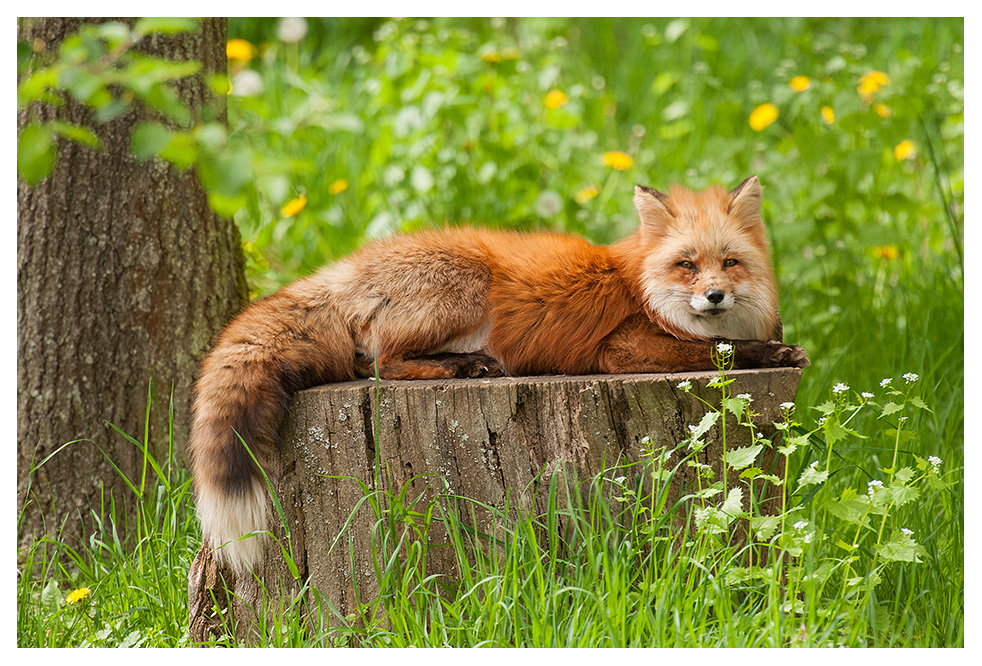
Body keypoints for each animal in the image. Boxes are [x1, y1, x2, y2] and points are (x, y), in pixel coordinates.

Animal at [190, 174, 808, 568]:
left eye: (730, 262)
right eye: (687, 265)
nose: (714, 296)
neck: (642, 286)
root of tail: (342, 269)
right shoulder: (624, 349)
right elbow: (722, 349)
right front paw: (773, 353)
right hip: (464, 287)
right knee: (381, 366)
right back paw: (467, 366)